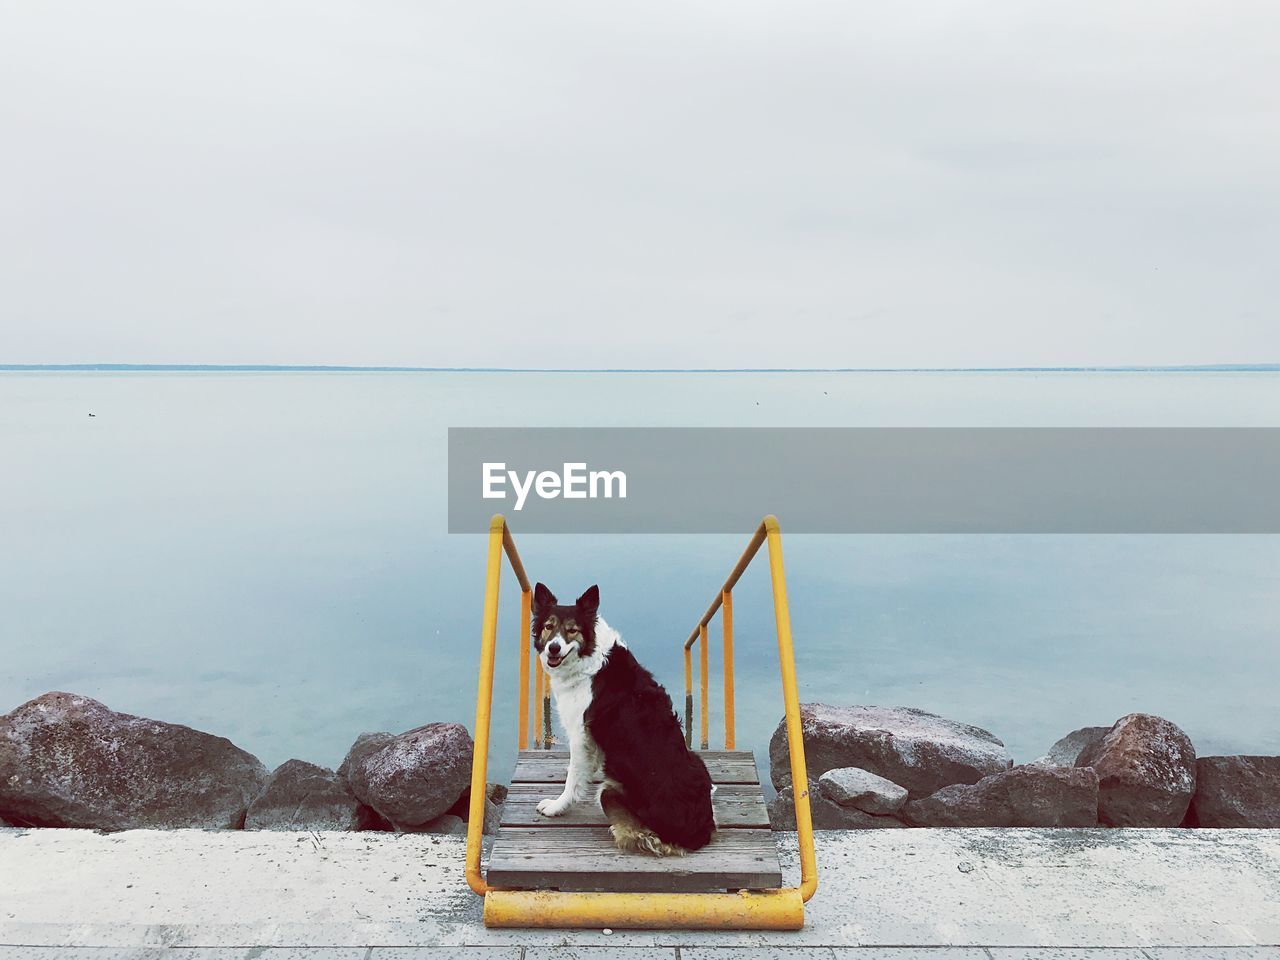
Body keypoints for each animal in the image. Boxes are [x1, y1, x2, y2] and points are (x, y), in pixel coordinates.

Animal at [527, 583, 711, 855]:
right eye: (549, 626)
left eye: (572, 630)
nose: (554, 648)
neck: (588, 658)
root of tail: (698, 831)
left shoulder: (580, 733)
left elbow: (573, 778)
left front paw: (557, 806)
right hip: (697, 760)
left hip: (609, 791)